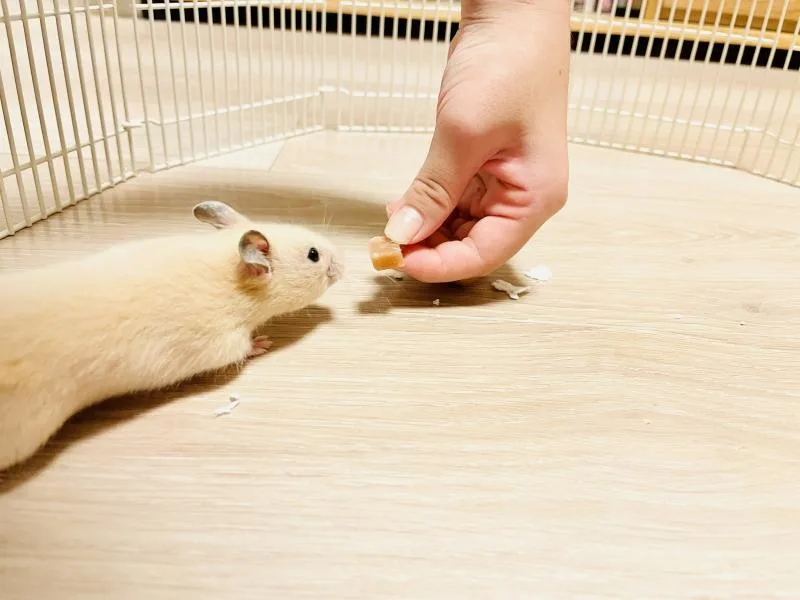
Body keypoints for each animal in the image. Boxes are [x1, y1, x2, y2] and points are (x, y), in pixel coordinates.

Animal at [0, 201, 344, 471]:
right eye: (313, 255)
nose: (344, 264)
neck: (231, 276)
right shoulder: (225, 343)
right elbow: (245, 349)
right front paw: (264, 343)